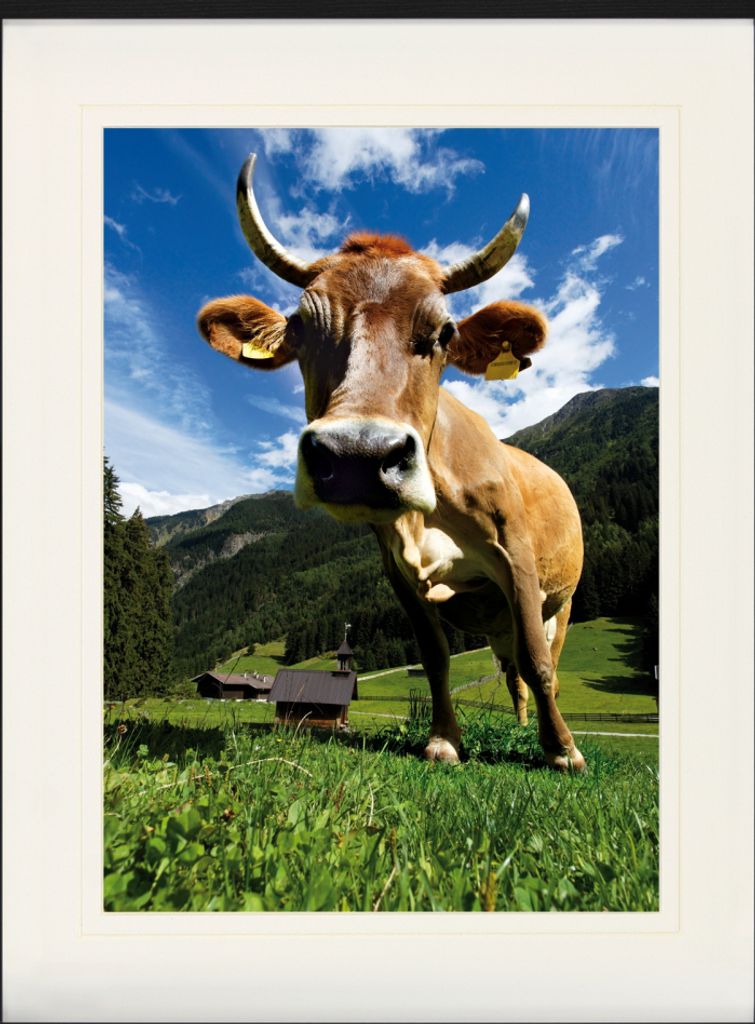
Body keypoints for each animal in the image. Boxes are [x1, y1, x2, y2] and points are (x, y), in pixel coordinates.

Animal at [198, 153, 585, 772]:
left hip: (563, 601)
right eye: (301, 327)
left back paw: (549, 736)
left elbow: (540, 662)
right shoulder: (399, 575)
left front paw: (563, 752)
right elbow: (436, 659)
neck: (430, 513)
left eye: (444, 332)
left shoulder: (518, 556)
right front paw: (445, 740)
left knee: (537, 660)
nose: (358, 453)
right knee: (510, 674)